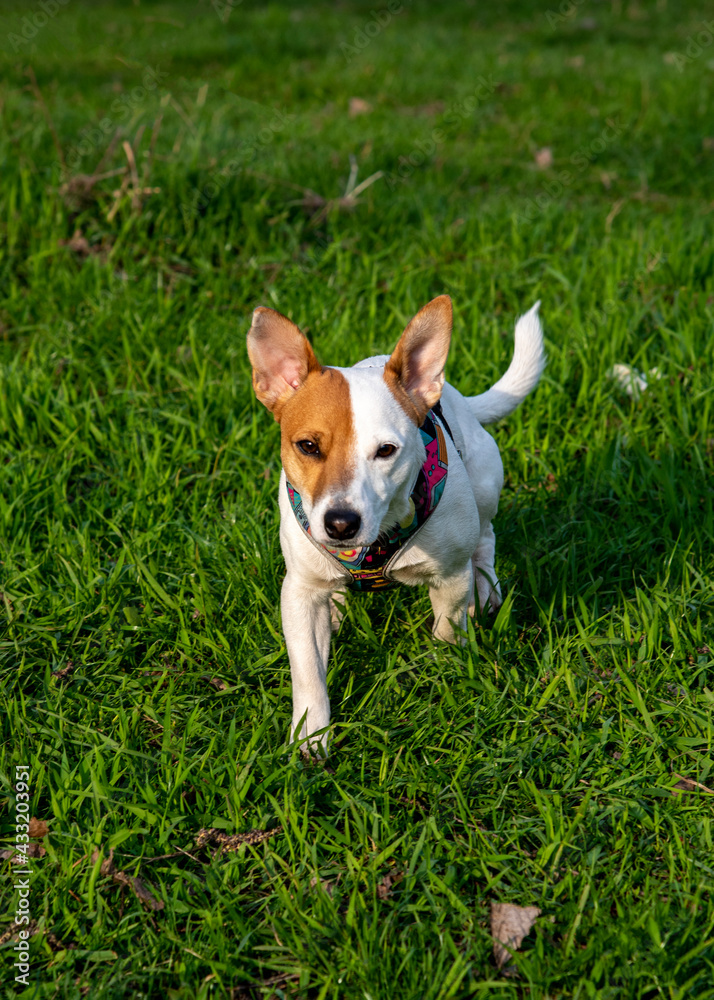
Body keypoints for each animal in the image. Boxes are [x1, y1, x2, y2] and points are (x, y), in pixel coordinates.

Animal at [248, 296, 544, 756]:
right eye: (308, 446)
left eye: (386, 451)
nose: (340, 523)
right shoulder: (299, 593)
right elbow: (308, 669)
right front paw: (311, 732)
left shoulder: (450, 578)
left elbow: (447, 627)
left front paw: (444, 667)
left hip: (484, 487)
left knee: (485, 539)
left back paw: (486, 590)